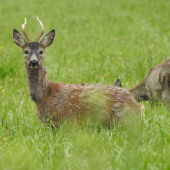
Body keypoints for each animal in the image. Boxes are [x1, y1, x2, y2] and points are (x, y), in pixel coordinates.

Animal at [13, 17, 143, 128]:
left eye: (41, 51)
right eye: (26, 51)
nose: (33, 61)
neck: (44, 95)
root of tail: (138, 106)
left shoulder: (67, 120)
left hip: (123, 118)